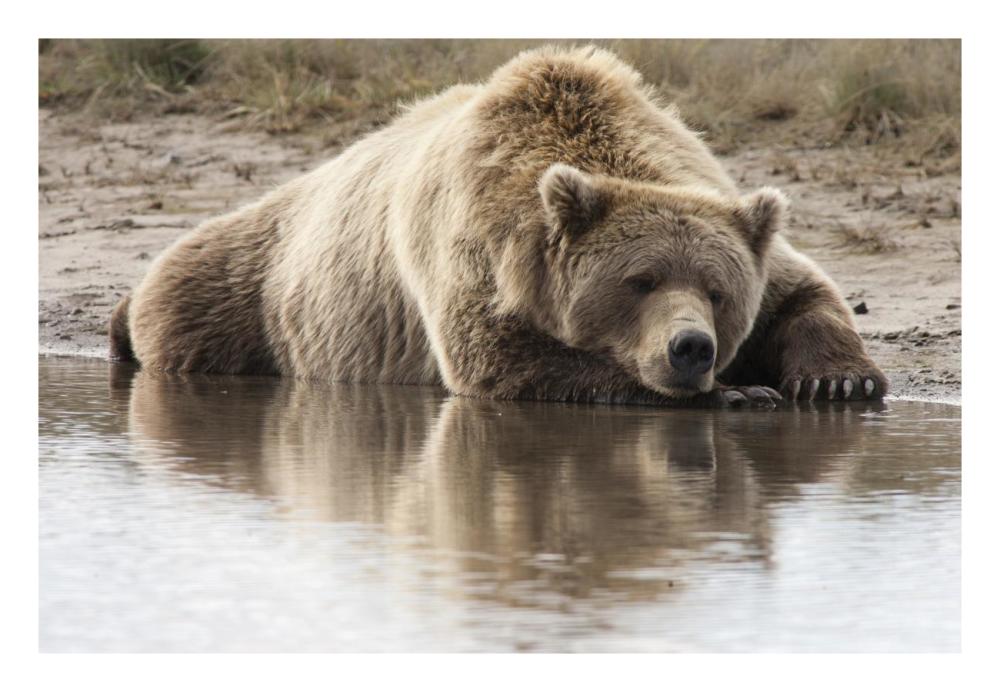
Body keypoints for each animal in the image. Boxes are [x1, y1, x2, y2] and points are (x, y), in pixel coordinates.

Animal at [111, 45, 887, 406]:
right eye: (639, 281)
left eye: (718, 291)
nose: (691, 347)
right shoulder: (477, 249)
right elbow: (506, 361)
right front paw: (739, 392)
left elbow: (801, 290)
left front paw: (838, 382)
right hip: (251, 289)